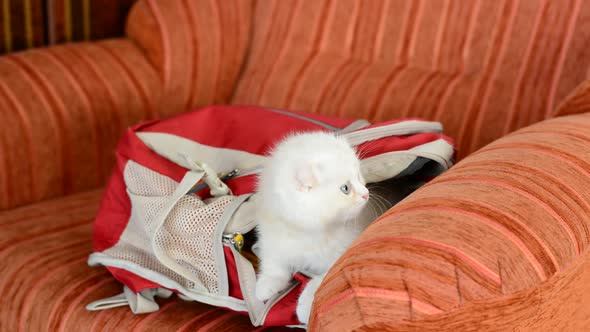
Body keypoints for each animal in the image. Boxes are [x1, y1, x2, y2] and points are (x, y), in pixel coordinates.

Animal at [254, 132, 370, 324]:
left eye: (359, 176)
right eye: (345, 188)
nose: (366, 194)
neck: (306, 233)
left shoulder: (341, 252)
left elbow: (322, 281)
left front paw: (305, 306)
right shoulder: (272, 236)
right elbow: (273, 261)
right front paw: (266, 283)